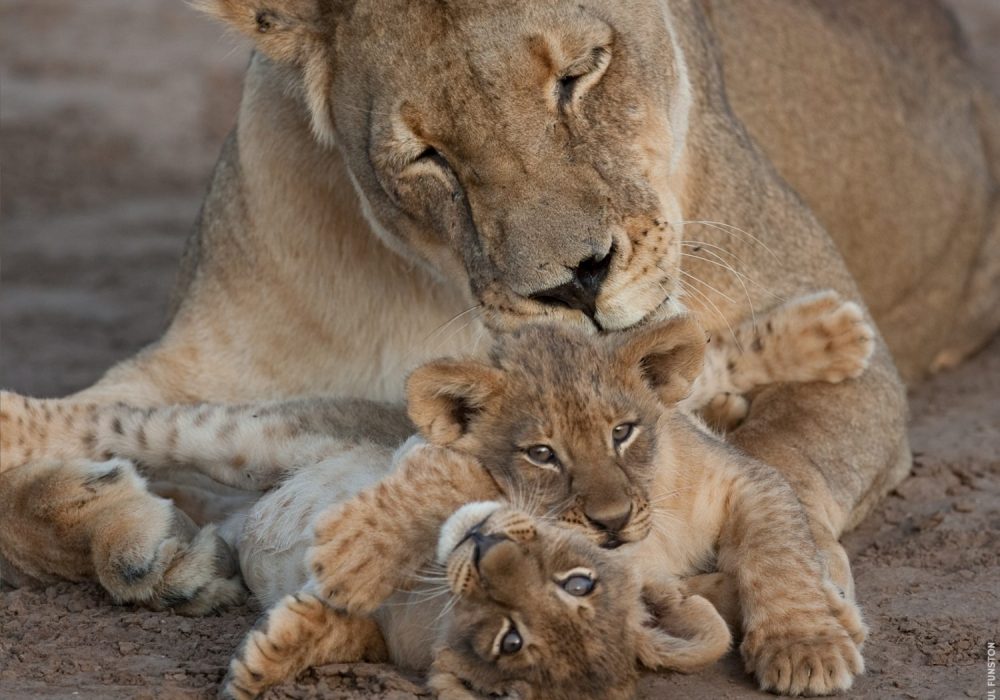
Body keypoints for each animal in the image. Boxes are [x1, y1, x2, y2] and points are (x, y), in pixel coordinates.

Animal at [2, 0, 998, 627]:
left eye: (583, 72)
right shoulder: (203, 362)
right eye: (428, 156)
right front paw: (150, 545)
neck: (439, 287)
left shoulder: (849, 349)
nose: (576, 285)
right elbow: (47, 451)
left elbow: (781, 456)